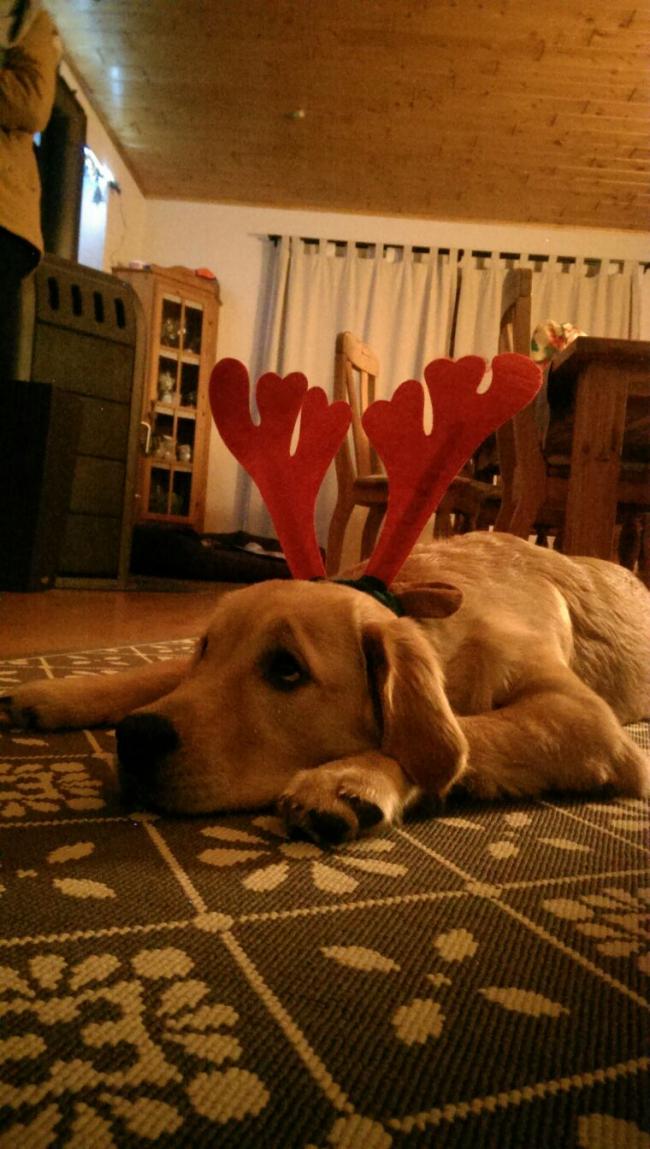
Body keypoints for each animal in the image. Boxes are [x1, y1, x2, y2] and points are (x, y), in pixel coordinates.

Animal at [3, 533, 649, 844]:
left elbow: (458, 738)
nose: (134, 739)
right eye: (207, 648)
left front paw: (349, 776)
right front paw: (57, 693)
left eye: (288, 670)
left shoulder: (583, 718)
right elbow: (155, 673)